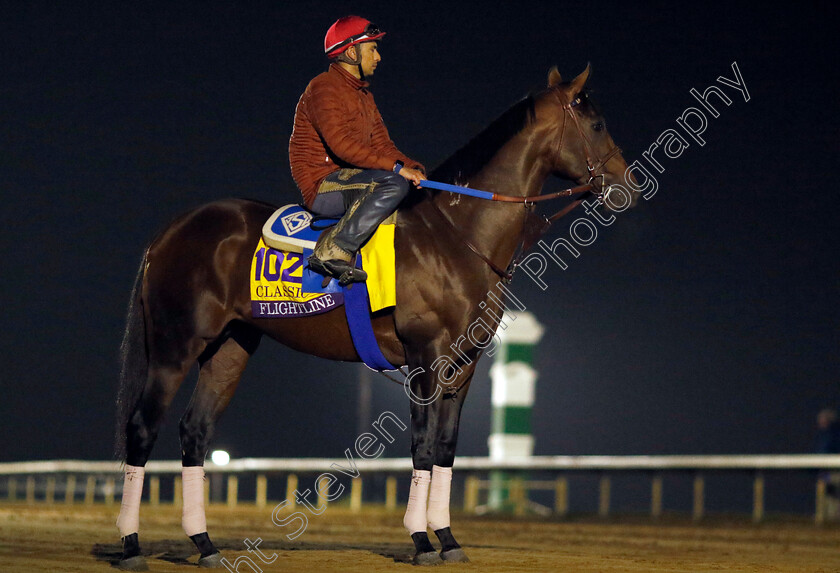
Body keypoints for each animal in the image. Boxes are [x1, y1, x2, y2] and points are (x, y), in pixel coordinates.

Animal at [111, 63, 636, 568]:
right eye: (597, 123)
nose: (627, 184)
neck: (456, 236)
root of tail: (170, 232)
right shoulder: (426, 357)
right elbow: (422, 446)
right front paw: (421, 541)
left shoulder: (465, 364)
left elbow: (446, 449)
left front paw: (448, 538)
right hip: (176, 345)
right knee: (142, 428)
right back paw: (132, 546)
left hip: (230, 347)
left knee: (195, 432)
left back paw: (204, 545)